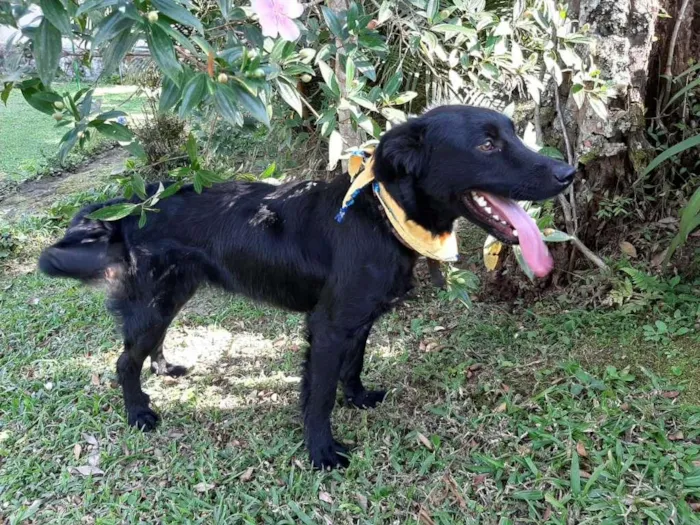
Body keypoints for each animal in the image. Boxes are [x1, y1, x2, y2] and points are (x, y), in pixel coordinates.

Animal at [37, 105, 576, 466]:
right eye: (487, 145)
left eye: (513, 134)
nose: (568, 172)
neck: (381, 215)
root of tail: (131, 204)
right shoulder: (328, 326)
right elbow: (317, 395)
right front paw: (321, 451)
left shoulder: (358, 320)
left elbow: (353, 366)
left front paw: (357, 397)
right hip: (154, 300)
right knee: (123, 361)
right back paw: (138, 412)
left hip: (170, 297)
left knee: (149, 344)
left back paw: (166, 368)